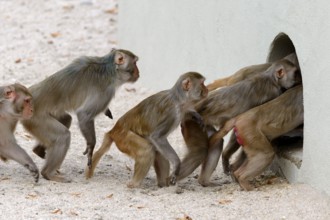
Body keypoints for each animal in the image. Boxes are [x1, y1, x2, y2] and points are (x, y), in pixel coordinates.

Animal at [20, 49, 139, 183]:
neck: (109, 68)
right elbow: (84, 115)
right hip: (35, 119)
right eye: (135, 63)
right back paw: (47, 173)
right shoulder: (106, 91)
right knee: (63, 136)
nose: (138, 72)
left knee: (66, 119)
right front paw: (91, 146)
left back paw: (39, 151)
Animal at [177, 58, 300, 186]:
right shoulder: (275, 93)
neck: (270, 78)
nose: (299, 79)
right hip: (192, 122)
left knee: (216, 142)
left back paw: (204, 181)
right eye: (295, 73)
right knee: (198, 152)